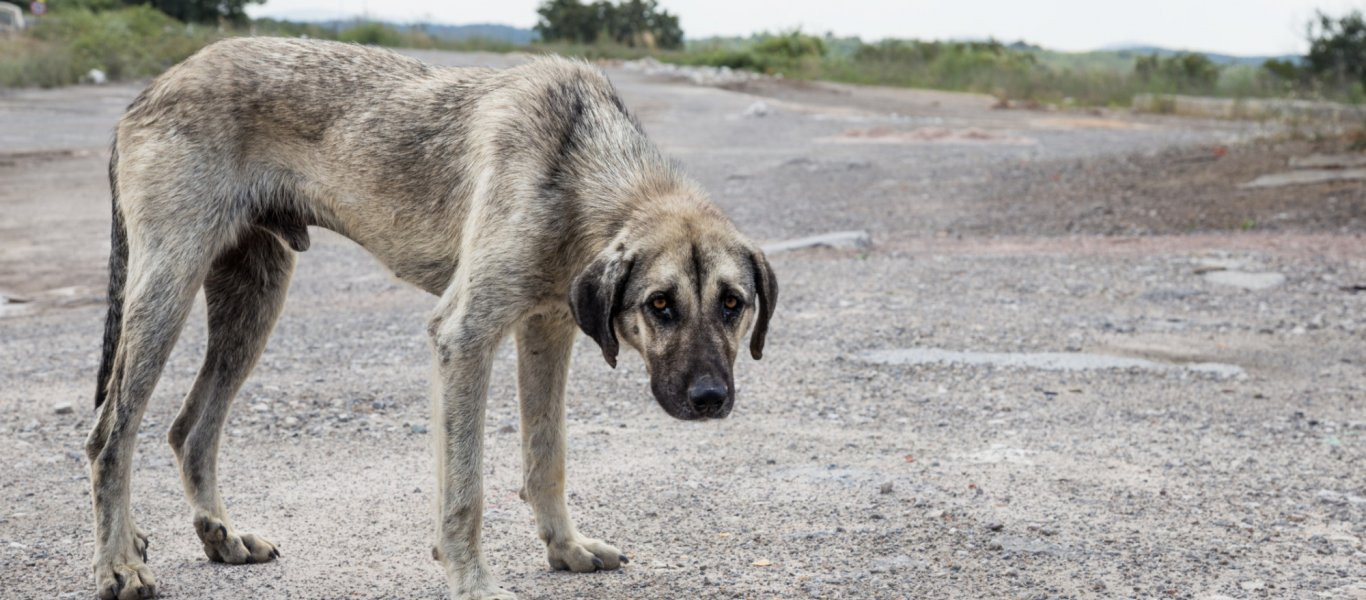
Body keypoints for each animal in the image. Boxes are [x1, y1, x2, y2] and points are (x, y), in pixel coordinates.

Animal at [88, 38, 781, 600]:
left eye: (733, 304)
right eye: (659, 304)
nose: (710, 399)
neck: (580, 166)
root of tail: (148, 92)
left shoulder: (546, 331)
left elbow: (546, 455)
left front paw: (565, 548)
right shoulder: (464, 337)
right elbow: (466, 489)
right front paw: (471, 580)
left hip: (253, 302)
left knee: (189, 429)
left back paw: (220, 535)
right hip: (166, 294)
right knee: (110, 435)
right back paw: (119, 564)